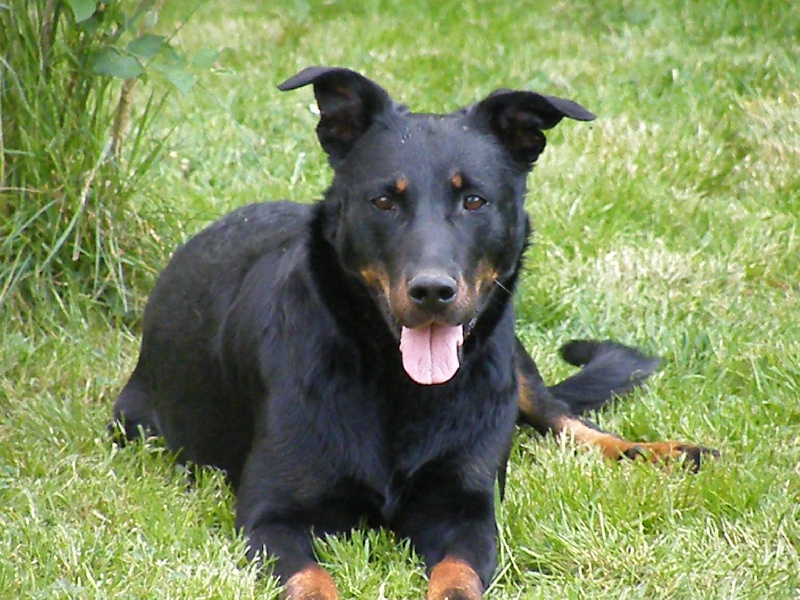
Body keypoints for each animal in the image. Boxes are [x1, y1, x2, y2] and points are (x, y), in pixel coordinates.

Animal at [111, 67, 712, 600]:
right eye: (384, 201)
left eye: (474, 200)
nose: (431, 292)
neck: (397, 385)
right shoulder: (271, 517)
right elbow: (311, 583)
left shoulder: (466, 512)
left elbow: (456, 579)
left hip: (513, 367)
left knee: (569, 422)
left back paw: (665, 451)